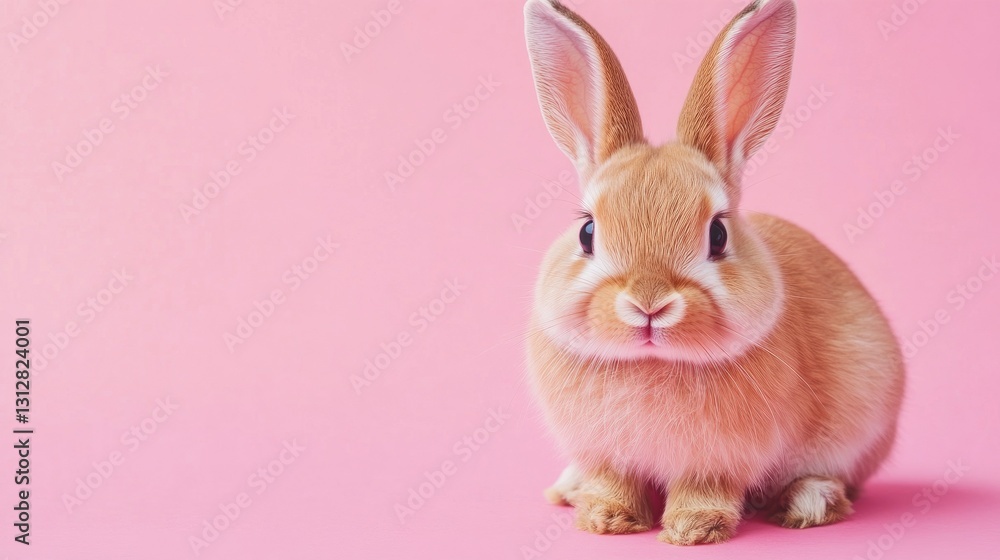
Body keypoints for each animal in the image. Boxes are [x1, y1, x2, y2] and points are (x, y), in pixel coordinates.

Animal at [522, 0, 905, 546]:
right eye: (587, 233)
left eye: (718, 234)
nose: (648, 304)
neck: (653, 364)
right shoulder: (605, 455)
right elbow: (613, 481)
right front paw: (605, 519)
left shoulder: (719, 461)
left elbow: (705, 490)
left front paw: (693, 530)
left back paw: (807, 502)